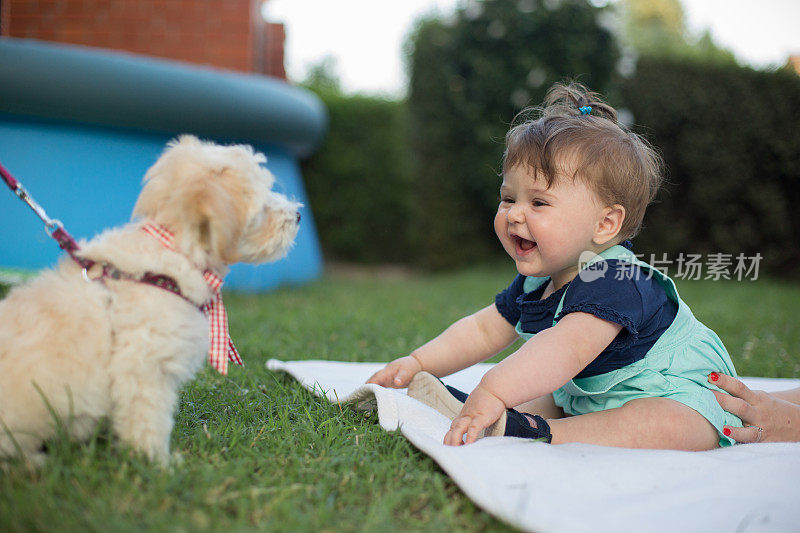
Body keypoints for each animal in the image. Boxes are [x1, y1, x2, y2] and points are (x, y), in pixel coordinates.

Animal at [0, 135, 300, 464]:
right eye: (263, 204)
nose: (298, 215)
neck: (173, 254)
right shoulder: (143, 370)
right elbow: (149, 421)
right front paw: (159, 463)